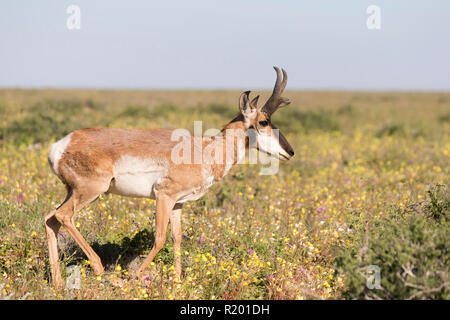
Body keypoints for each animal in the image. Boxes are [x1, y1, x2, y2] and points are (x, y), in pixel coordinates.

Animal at [44, 65, 292, 288]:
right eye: (263, 121)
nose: (290, 152)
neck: (205, 149)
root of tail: (62, 144)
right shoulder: (164, 196)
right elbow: (160, 237)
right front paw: (136, 277)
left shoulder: (178, 203)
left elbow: (177, 237)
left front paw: (178, 281)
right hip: (91, 191)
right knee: (63, 216)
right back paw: (96, 266)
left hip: (75, 192)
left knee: (50, 218)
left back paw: (58, 283)